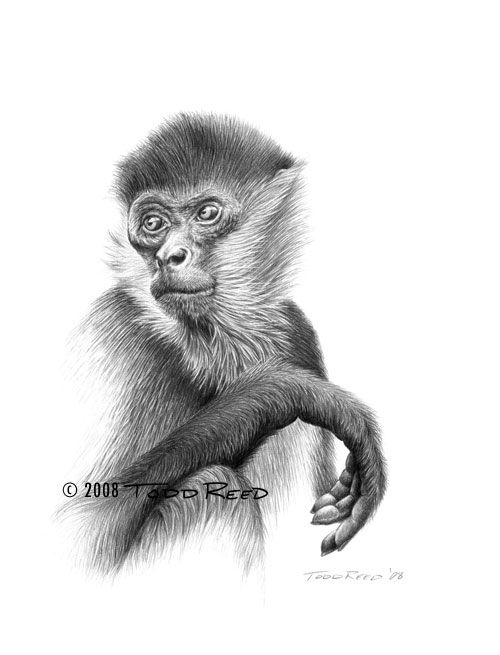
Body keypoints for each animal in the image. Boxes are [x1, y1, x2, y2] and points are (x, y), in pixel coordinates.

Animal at [62, 113, 386, 575]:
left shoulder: (298, 334)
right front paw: (281, 391)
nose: (169, 256)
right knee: (214, 488)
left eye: (207, 213)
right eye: (153, 224)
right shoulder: (114, 328)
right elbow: (79, 525)